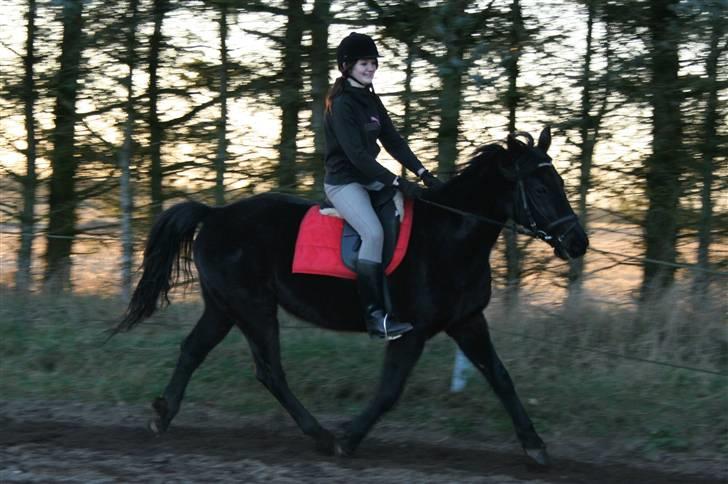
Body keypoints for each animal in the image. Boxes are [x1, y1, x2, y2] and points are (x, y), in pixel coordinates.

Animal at [116, 127, 588, 466]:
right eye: (540, 189)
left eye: (559, 182)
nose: (578, 242)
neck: (450, 237)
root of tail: (214, 215)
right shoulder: (411, 331)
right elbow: (390, 390)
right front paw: (347, 438)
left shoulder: (468, 322)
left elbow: (502, 378)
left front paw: (535, 445)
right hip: (252, 307)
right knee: (270, 371)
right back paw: (321, 435)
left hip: (224, 307)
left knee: (194, 350)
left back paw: (162, 414)